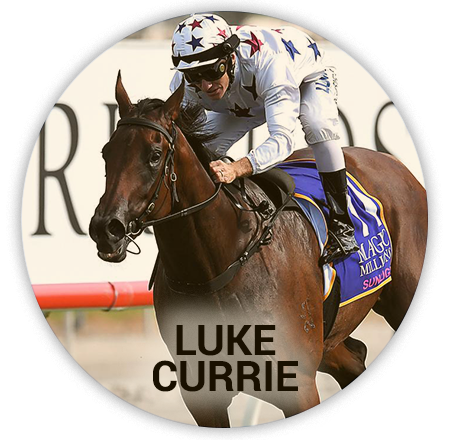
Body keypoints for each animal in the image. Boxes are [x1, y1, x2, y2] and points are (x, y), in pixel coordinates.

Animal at [89, 72, 428, 426]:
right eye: (106, 153)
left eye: (154, 156)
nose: (106, 228)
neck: (215, 268)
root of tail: (393, 162)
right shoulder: (201, 394)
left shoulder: (298, 385)